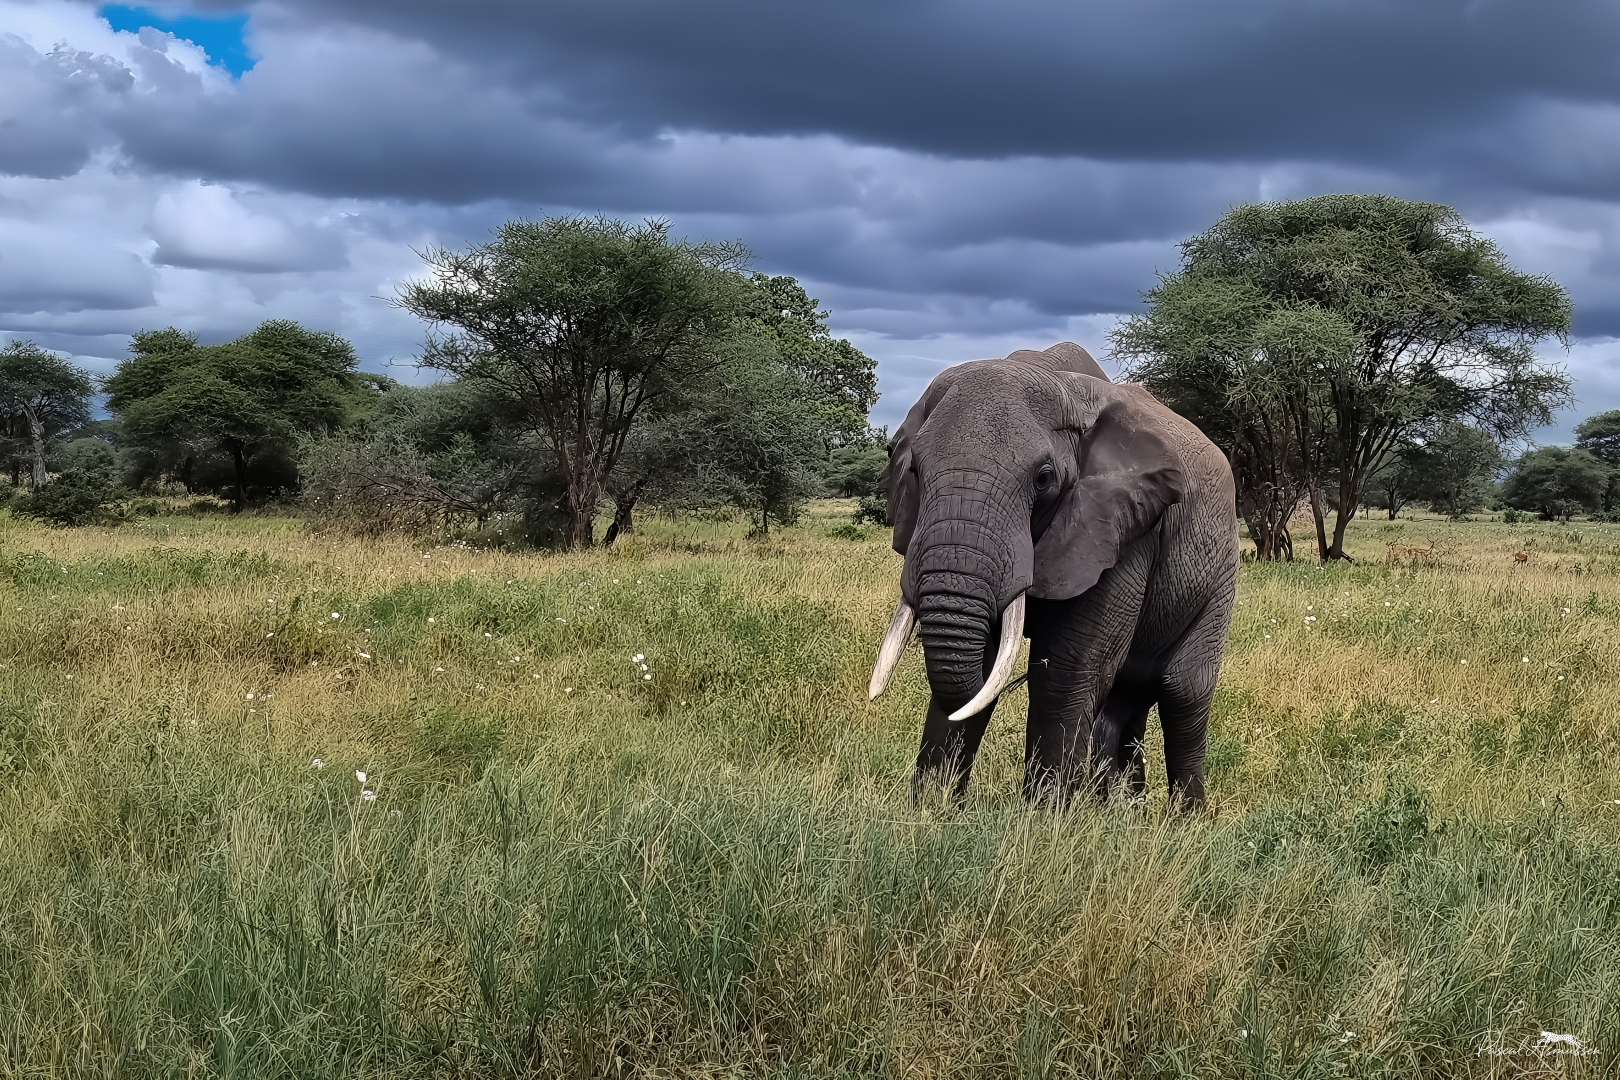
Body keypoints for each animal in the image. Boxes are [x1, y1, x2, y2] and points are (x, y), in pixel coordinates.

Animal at [868, 342, 1238, 810]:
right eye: (914, 470)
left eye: (1044, 479)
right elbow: (983, 663)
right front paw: (931, 812)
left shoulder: (1121, 529)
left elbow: (1066, 672)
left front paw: (1043, 818)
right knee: (1126, 696)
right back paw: (1122, 813)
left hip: (1221, 571)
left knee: (1182, 691)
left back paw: (1182, 819)